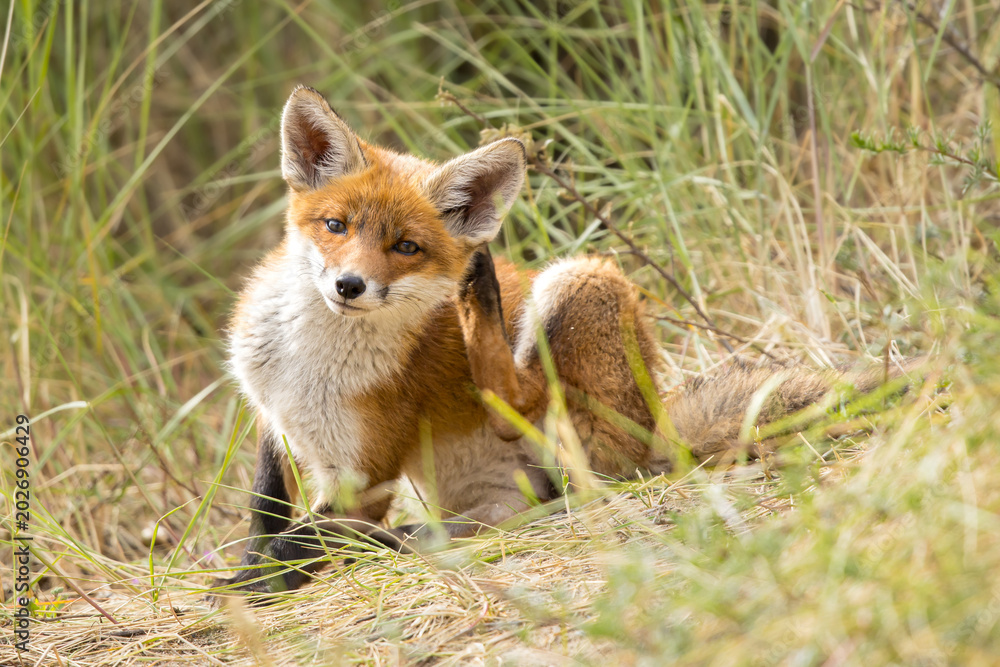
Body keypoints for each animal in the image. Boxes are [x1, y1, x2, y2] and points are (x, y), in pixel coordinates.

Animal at [218, 86, 914, 596]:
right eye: (336, 226)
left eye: (406, 247)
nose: (349, 286)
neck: (309, 365)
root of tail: (657, 430)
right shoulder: (272, 417)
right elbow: (266, 510)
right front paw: (251, 570)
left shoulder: (367, 475)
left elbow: (300, 538)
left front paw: (253, 586)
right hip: (492, 499)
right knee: (475, 517)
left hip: (574, 285)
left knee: (524, 413)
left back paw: (480, 294)